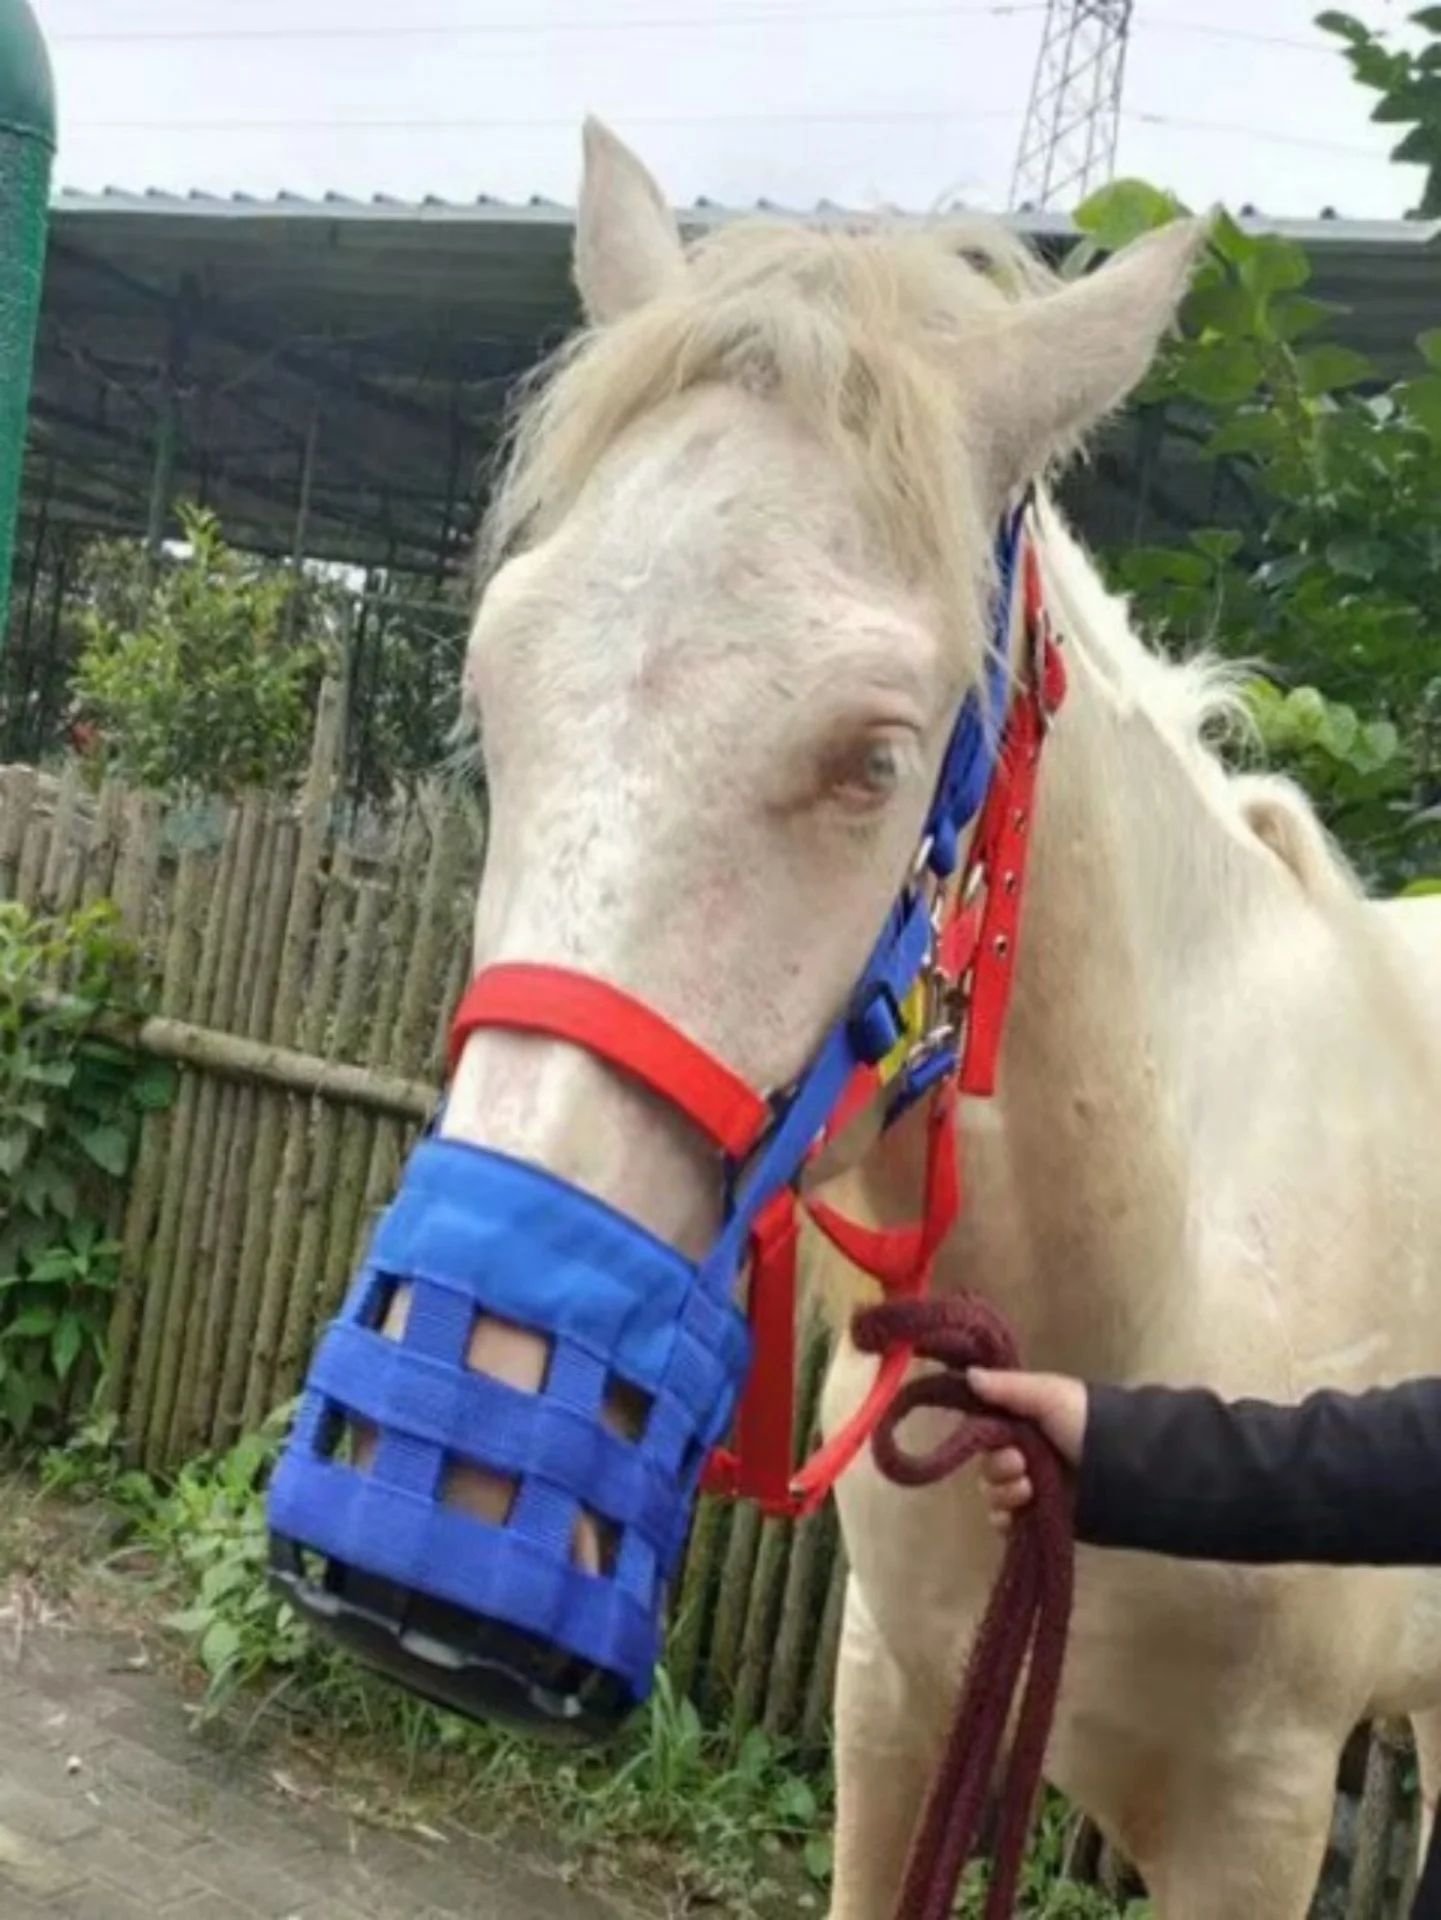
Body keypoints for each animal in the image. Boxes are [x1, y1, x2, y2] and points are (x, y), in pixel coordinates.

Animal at [358, 119, 1441, 1915]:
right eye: (492, 689)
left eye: (873, 756)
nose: (454, 1449)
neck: (1164, 1279)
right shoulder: (893, 1711)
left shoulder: (1259, 1823)